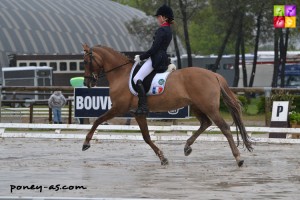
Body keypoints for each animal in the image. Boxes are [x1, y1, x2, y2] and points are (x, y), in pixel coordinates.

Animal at [81, 44, 252, 167]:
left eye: (85, 62)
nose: (87, 83)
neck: (121, 74)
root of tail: (213, 74)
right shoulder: (138, 113)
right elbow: (146, 137)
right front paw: (163, 158)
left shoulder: (119, 108)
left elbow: (98, 121)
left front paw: (86, 143)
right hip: (196, 106)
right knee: (205, 123)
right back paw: (187, 147)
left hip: (209, 107)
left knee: (224, 128)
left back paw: (238, 158)